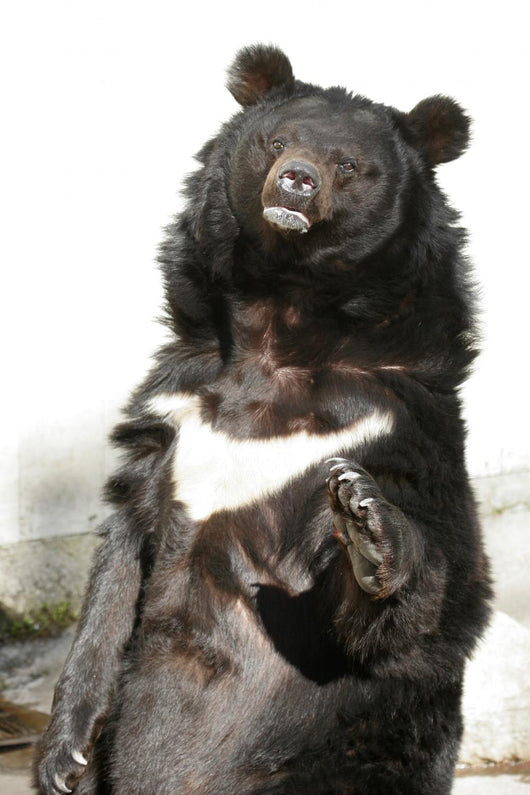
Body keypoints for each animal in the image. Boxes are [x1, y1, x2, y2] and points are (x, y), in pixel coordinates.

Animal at [35, 44, 492, 795]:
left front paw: (366, 522)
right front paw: (62, 754)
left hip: (352, 752)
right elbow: (118, 564)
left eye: (349, 164)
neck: (284, 312)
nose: (297, 182)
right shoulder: (173, 414)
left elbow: (429, 597)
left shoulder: (395, 421)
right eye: (277, 143)